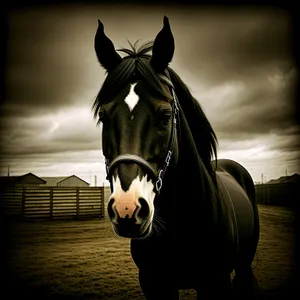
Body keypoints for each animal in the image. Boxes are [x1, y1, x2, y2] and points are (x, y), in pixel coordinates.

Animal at [92, 17, 258, 300]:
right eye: (103, 116)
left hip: (243, 266)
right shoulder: (155, 284)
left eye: (166, 114)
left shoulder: (216, 283)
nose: (126, 209)